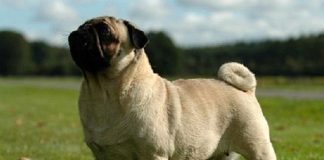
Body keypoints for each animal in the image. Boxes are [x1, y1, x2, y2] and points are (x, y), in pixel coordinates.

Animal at [68, 16, 276, 160]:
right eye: (81, 25)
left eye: (105, 32)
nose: (80, 31)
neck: (104, 92)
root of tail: (247, 91)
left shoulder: (153, 153)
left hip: (258, 148)